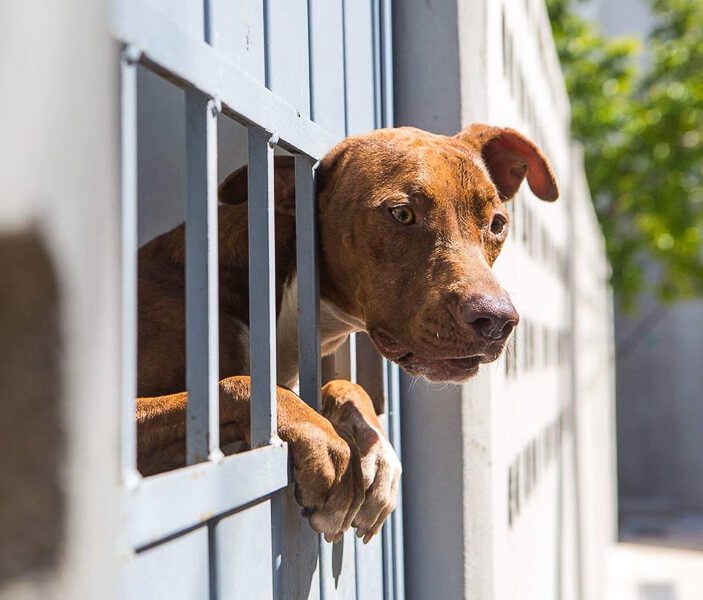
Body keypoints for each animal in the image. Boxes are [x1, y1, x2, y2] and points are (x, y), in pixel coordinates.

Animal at [136, 123, 556, 544]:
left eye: (497, 224)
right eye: (401, 213)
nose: (497, 319)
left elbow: (343, 386)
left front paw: (377, 450)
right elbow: (241, 384)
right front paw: (324, 439)